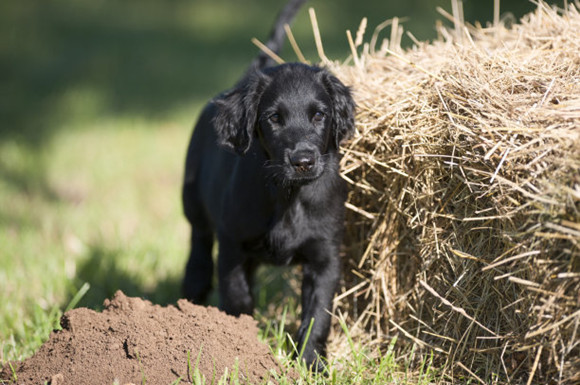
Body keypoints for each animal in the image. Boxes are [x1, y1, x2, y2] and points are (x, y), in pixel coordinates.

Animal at [181, 0, 356, 368]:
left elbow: (318, 315)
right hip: (194, 204)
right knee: (199, 246)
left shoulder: (326, 257)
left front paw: (310, 363)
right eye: (274, 118)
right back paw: (193, 291)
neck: (289, 196)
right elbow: (238, 299)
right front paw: (242, 344)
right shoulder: (233, 246)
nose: (303, 161)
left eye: (319, 115)